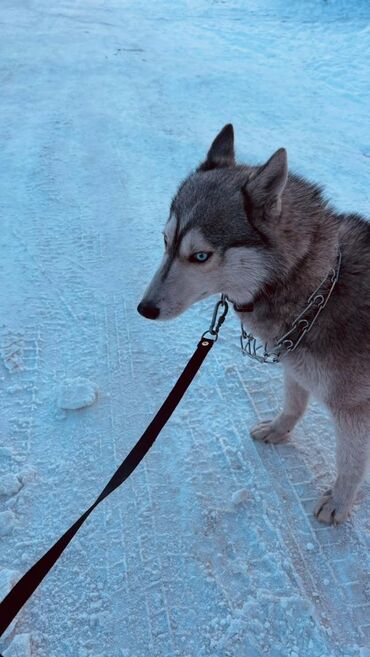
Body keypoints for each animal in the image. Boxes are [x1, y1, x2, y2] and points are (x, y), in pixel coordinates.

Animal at [138, 123, 370, 524]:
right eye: (165, 242)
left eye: (200, 256)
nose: (144, 309)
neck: (323, 283)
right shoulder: (296, 367)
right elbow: (293, 405)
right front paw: (278, 430)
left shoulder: (353, 409)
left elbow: (350, 464)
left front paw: (339, 502)